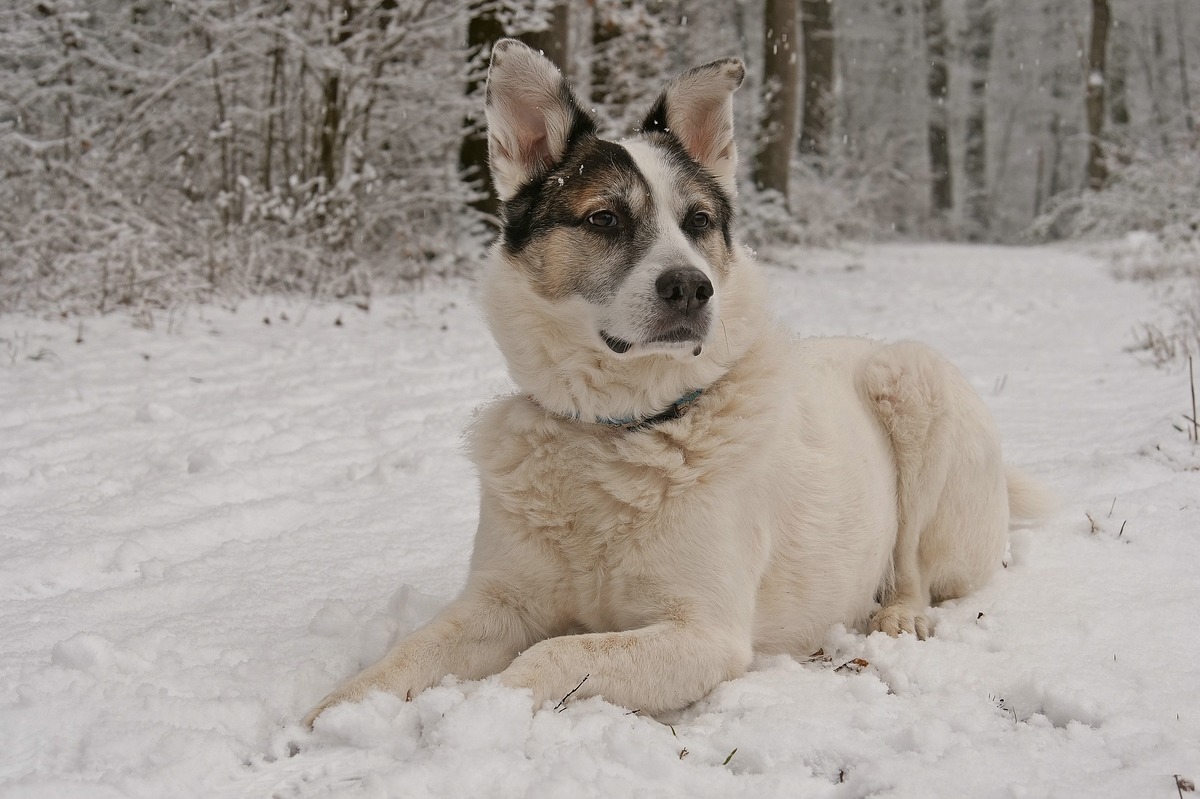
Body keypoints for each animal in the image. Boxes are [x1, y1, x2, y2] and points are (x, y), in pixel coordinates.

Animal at [304, 37, 1046, 719]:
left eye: (699, 221)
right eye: (605, 218)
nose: (692, 287)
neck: (619, 427)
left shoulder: (703, 634)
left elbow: (550, 656)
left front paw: (474, 711)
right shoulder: (500, 599)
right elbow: (409, 654)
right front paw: (335, 713)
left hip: (913, 377)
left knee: (914, 560)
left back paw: (899, 613)